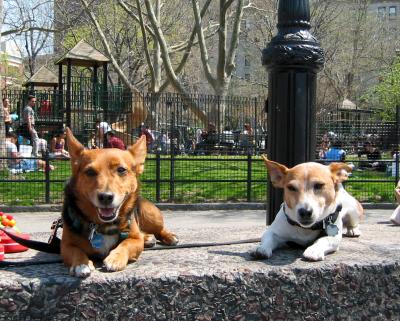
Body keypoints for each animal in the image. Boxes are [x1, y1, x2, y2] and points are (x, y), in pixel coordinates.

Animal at [62, 129, 178, 276]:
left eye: (121, 170)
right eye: (90, 172)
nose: (106, 197)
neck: (103, 225)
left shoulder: (135, 240)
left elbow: (126, 244)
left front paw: (115, 258)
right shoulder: (65, 245)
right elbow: (76, 251)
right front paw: (82, 264)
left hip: (151, 216)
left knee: (158, 230)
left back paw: (169, 236)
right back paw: (148, 238)